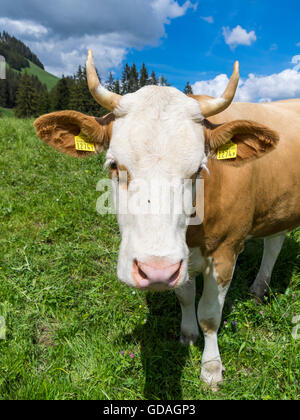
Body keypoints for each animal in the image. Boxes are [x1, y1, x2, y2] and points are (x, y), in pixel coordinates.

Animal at [34, 50, 298, 388]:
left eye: (199, 169)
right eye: (114, 164)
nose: (154, 270)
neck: (193, 234)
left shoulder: (227, 249)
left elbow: (210, 314)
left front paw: (211, 367)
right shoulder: (180, 259)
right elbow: (185, 295)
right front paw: (187, 334)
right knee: (275, 240)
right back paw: (258, 290)